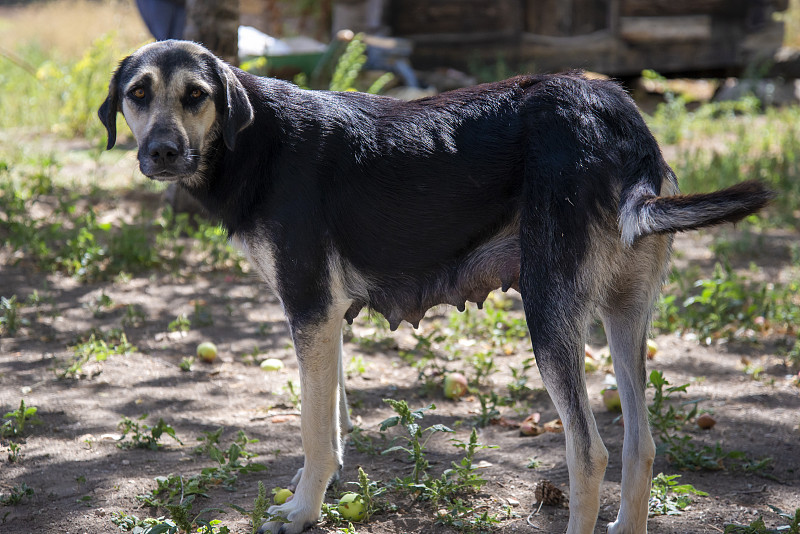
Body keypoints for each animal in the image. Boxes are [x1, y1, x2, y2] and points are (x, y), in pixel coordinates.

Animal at [100, 39, 776, 532]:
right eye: (139, 94)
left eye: (196, 96)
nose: (162, 153)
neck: (254, 139)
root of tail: (618, 116)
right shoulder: (326, 320)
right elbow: (333, 425)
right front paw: (315, 491)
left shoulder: (310, 311)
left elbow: (315, 432)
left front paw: (301, 512)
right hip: (623, 318)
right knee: (641, 446)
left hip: (548, 314)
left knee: (591, 454)